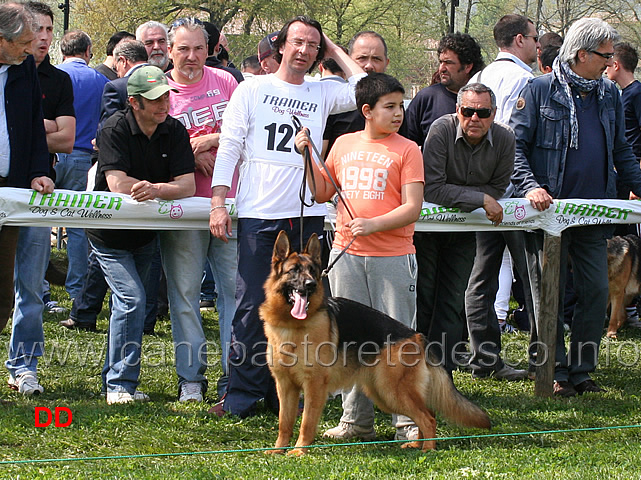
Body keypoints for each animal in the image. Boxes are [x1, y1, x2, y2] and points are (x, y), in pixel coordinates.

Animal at [258, 232, 488, 458]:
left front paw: (299, 451)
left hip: (392, 392)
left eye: (312, 271)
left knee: (428, 418)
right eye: (294, 271)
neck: (291, 325)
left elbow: (306, 423)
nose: (311, 285)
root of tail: (418, 336)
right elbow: (284, 422)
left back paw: (428, 450)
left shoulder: (314, 386)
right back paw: (416, 444)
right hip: (384, 394)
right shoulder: (285, 387)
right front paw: (278, 450)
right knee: (427, 413)